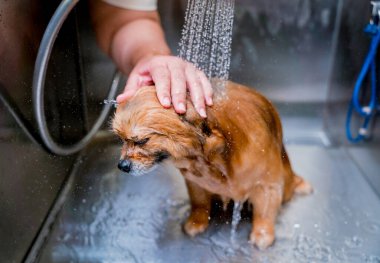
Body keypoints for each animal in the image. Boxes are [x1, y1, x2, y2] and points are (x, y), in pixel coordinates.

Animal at [112, 81, 312, 251]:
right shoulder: (196, 182)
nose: (122, 165)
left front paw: (262, 234)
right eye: (121, 139)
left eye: (142, 141)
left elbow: (264, 212)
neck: (208, 162)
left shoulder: (267, 185)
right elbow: (199, 203)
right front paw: (196, 222)